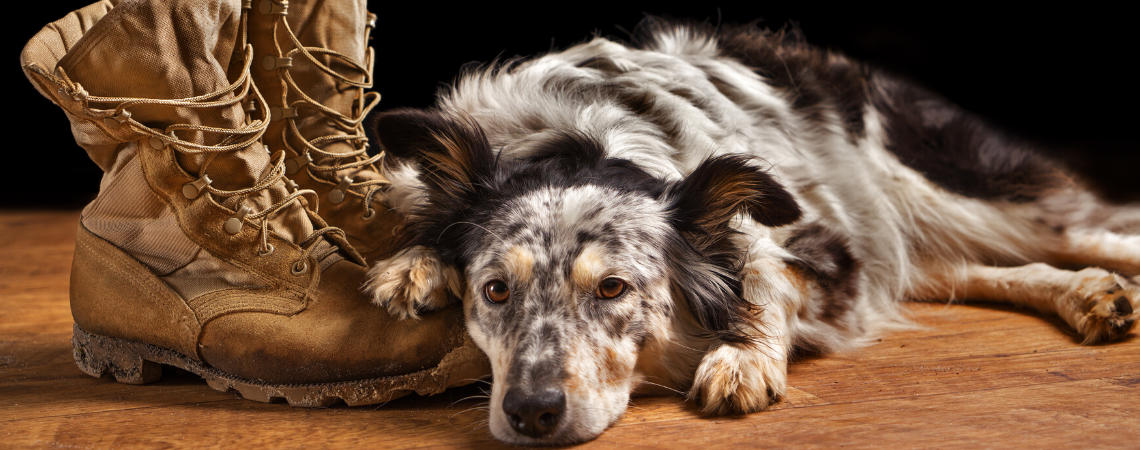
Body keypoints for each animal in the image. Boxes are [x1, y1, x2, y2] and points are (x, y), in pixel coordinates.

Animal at [362, 19, 1140, 446]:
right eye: (494, 291)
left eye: (614, 289)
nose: (530, 413)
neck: (581, 141)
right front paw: (415, 264)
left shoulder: (826, 245)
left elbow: (764, 278)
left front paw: (743, 358)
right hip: (906, 236)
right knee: (975, 268)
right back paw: (1090, 296)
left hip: (948, 190)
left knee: (1100, 231)